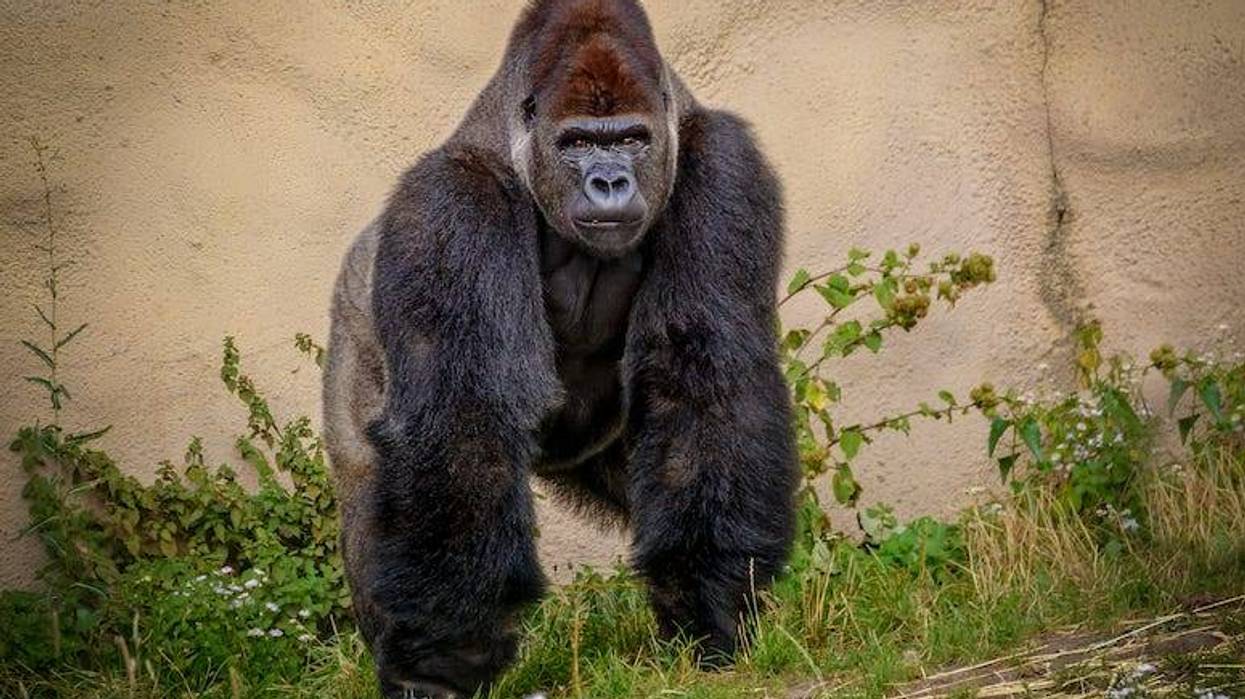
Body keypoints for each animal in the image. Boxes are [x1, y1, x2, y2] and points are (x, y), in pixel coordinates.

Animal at [322, 1, 796, 697]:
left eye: (629, 139)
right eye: (576, 144)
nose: (609, 181)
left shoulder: (723, 162)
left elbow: (701, 380)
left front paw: (708, 608)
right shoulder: (453, 201)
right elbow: (465, 421)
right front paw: (442, 660)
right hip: (350, 345)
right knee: (370, 487)